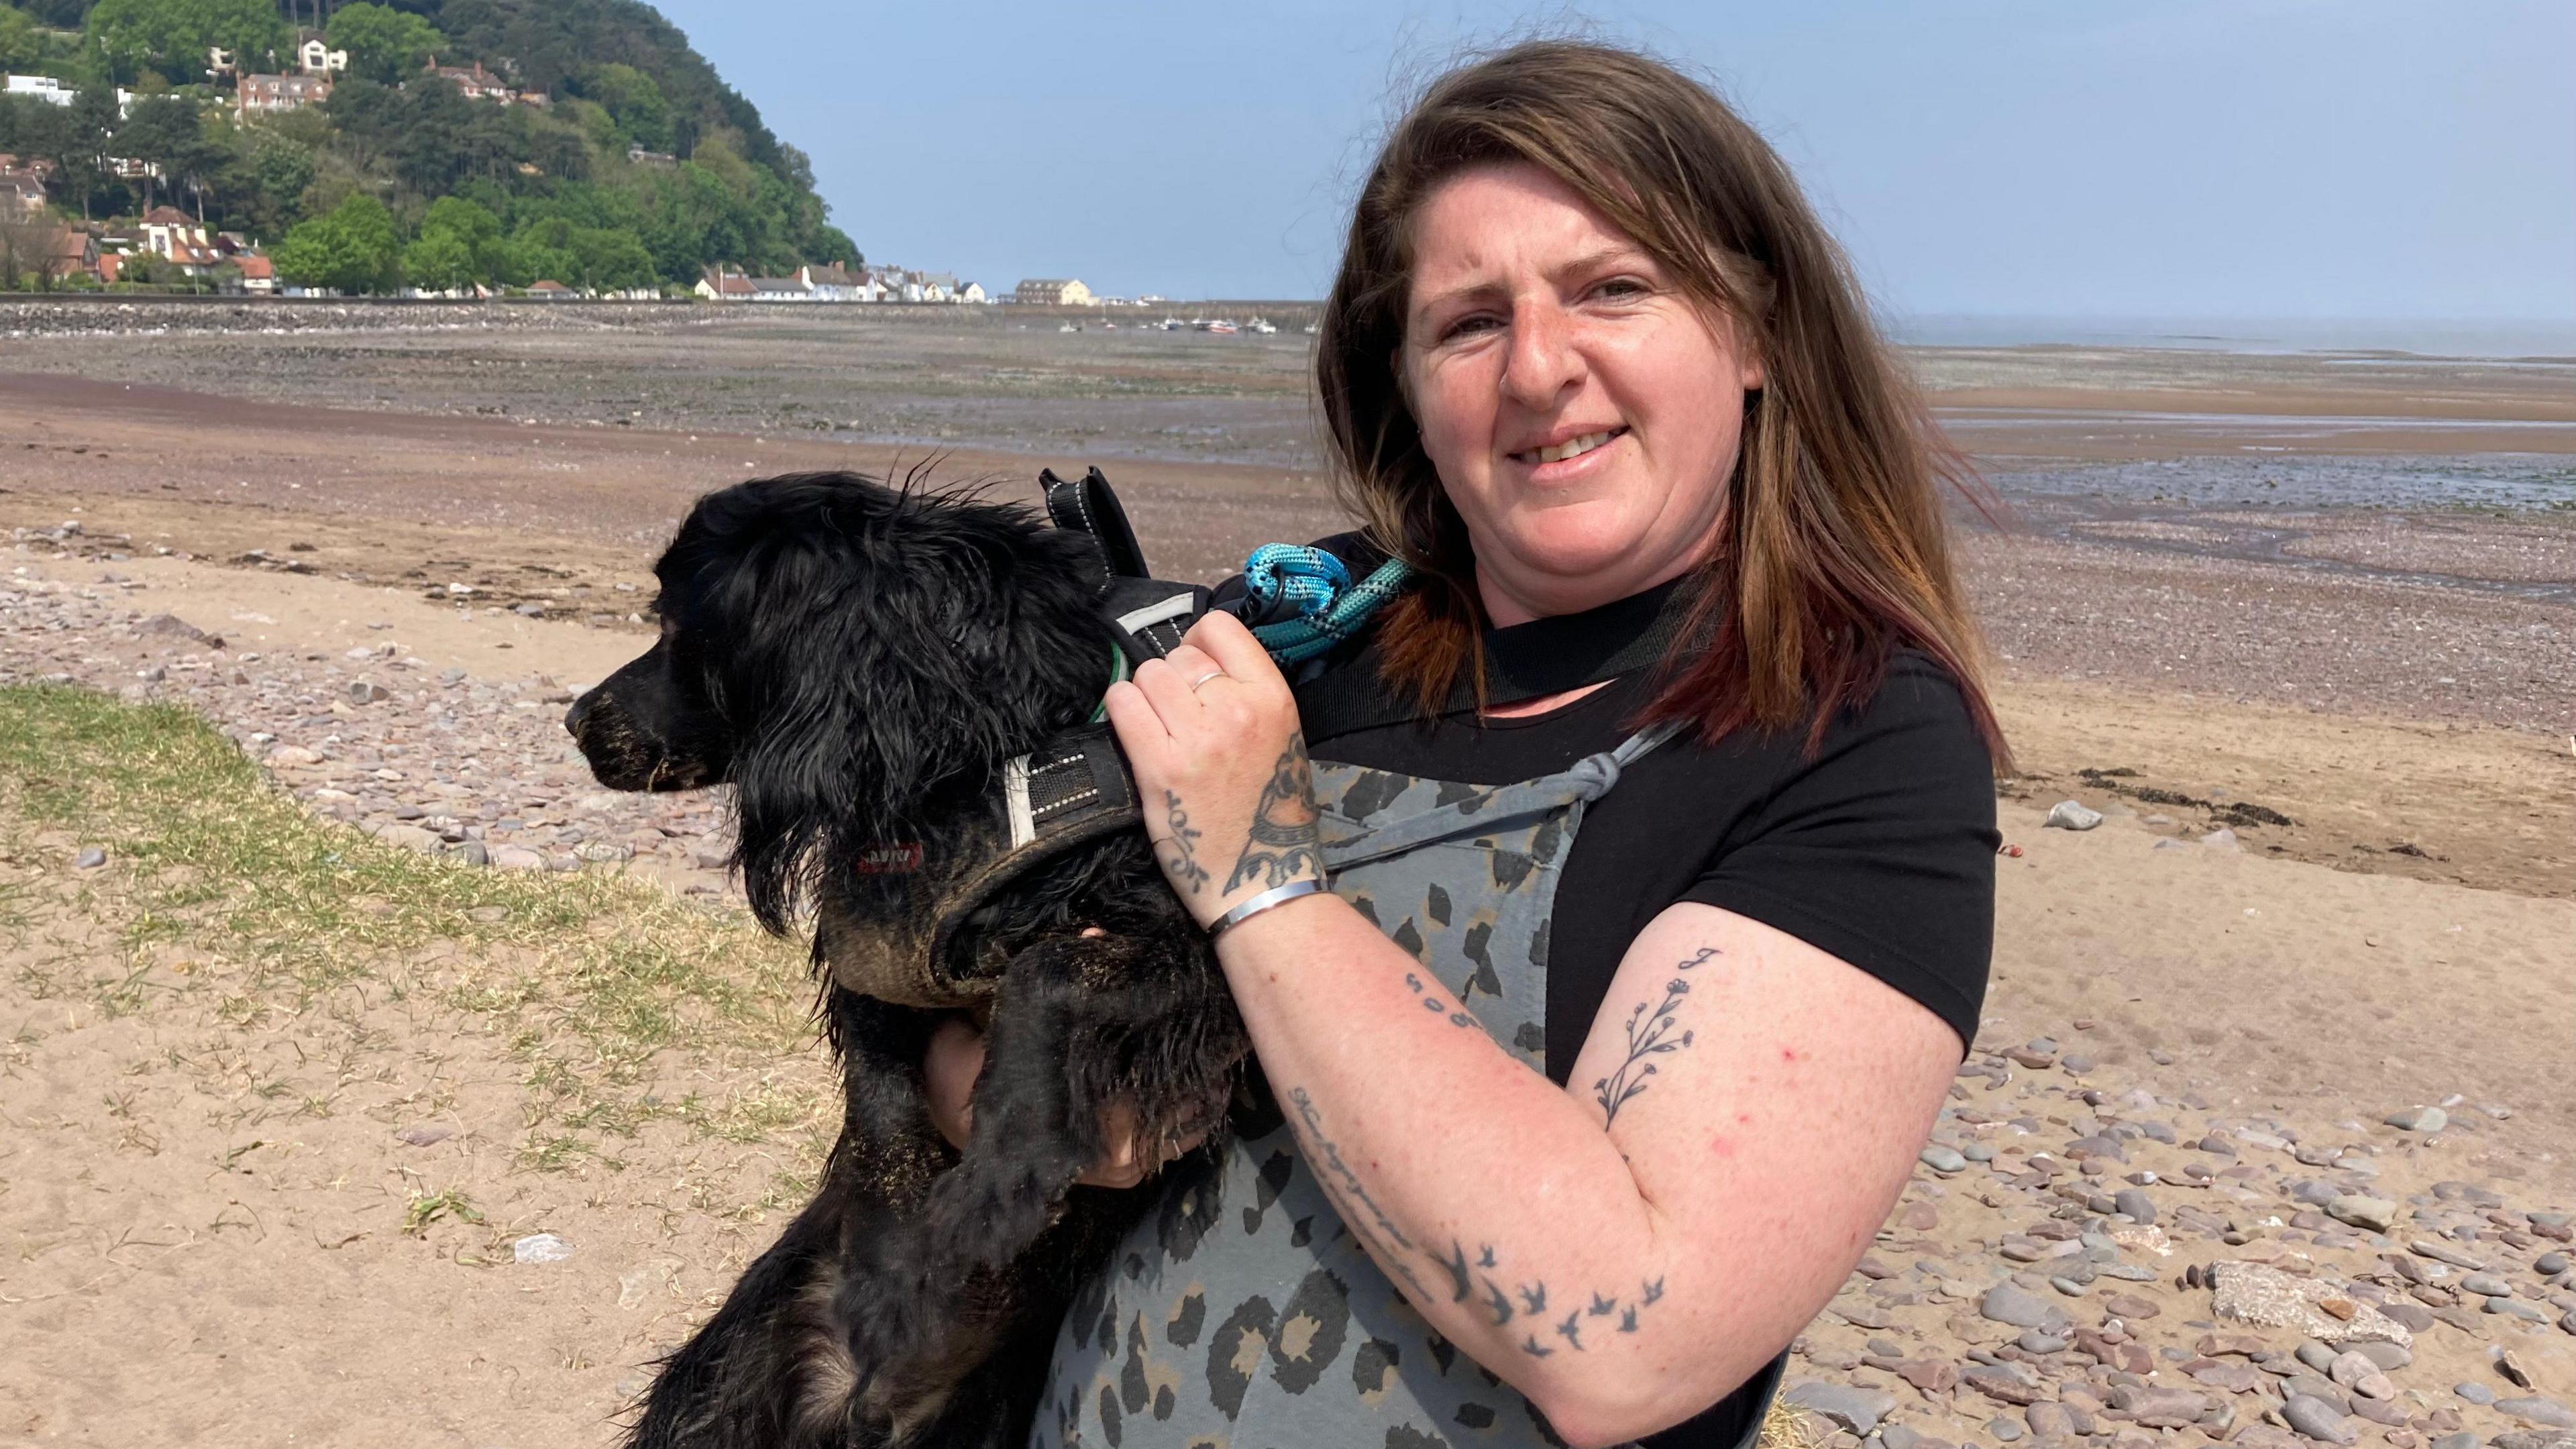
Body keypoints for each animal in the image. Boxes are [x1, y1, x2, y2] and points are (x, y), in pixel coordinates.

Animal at [569, 469, 1252, 1433]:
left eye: (674, 627)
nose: (572, 718)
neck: (966, 782)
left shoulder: (1203, 966)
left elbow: (1048, 971)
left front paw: (1000, 1179)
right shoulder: (871, 963)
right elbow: (882, 1113)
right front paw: (897, 1260)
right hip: (721, 1377)